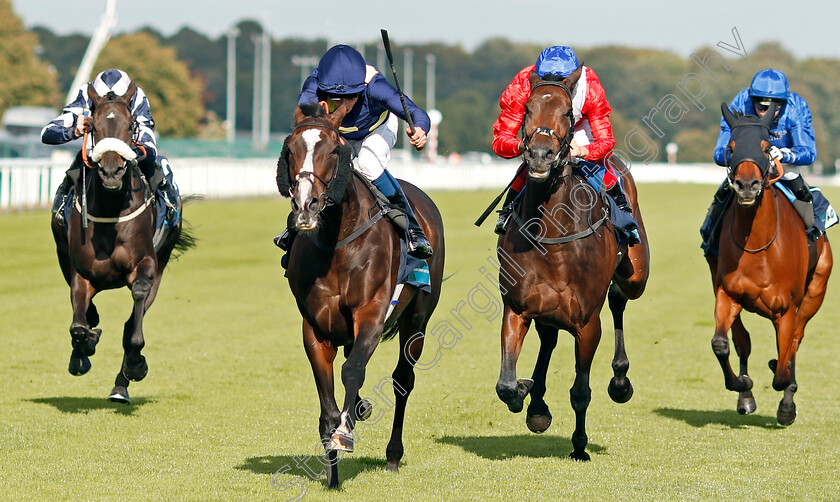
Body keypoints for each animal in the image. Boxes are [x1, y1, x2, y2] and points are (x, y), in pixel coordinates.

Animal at [50, 81, 194, 404]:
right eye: (93, 125)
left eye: (131, 126)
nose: (112, 171)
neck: (111, 208)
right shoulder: (79, 271)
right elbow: (79, 326)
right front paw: (84, 349)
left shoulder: (147, 263)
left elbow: (133, 323)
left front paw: (136, 365)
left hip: (162, 263)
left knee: (131, 322)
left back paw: (121, 385)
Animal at [276, 99, 446, 486]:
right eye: (290, 149)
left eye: (333, 149)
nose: (306, 205)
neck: (336, 241)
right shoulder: (315, 325)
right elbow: (328, 402)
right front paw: (332, 472)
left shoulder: (372, 312)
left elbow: (353, 371)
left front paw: (345, 433)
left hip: (417, 317)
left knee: (403, 379)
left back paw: (393, 454)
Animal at [496, 65, 652, 458]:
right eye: (527, 109)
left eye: (568, 112)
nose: (539, 154)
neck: (552, 233)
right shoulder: (517, 308)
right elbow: (506, 384)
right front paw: (525, 393)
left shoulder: (587, 324)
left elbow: (581, 391)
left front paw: (579, 446)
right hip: (547, 312)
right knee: (549, 340)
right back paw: (537, 404)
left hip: (636, 275)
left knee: (619, 298)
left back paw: (620, 380)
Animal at [704, 104, 832, 426]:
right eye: (731, 147)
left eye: (765, 147)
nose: (747, 185)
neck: (758, 247)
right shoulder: (728, 294)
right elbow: (722, 344)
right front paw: (742, 384)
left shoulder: (786, 308)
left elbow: (783, 365)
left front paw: (785, 394)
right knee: (743, 340)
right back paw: (746, 396)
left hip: (815, 291)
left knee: (795, 340)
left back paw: (786, 400)